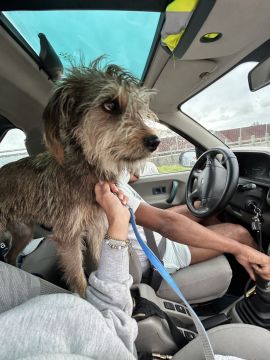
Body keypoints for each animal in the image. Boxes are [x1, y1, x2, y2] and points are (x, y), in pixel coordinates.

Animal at [0, 58, 159, 296]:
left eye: (137, 108)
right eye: (110, 105)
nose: (155, 141)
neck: (86, 169)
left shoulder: (97, 229)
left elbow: (100, 260)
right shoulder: (68, 235)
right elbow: (79, 278)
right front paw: (88, 298)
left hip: (23, 232)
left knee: (10, 255)